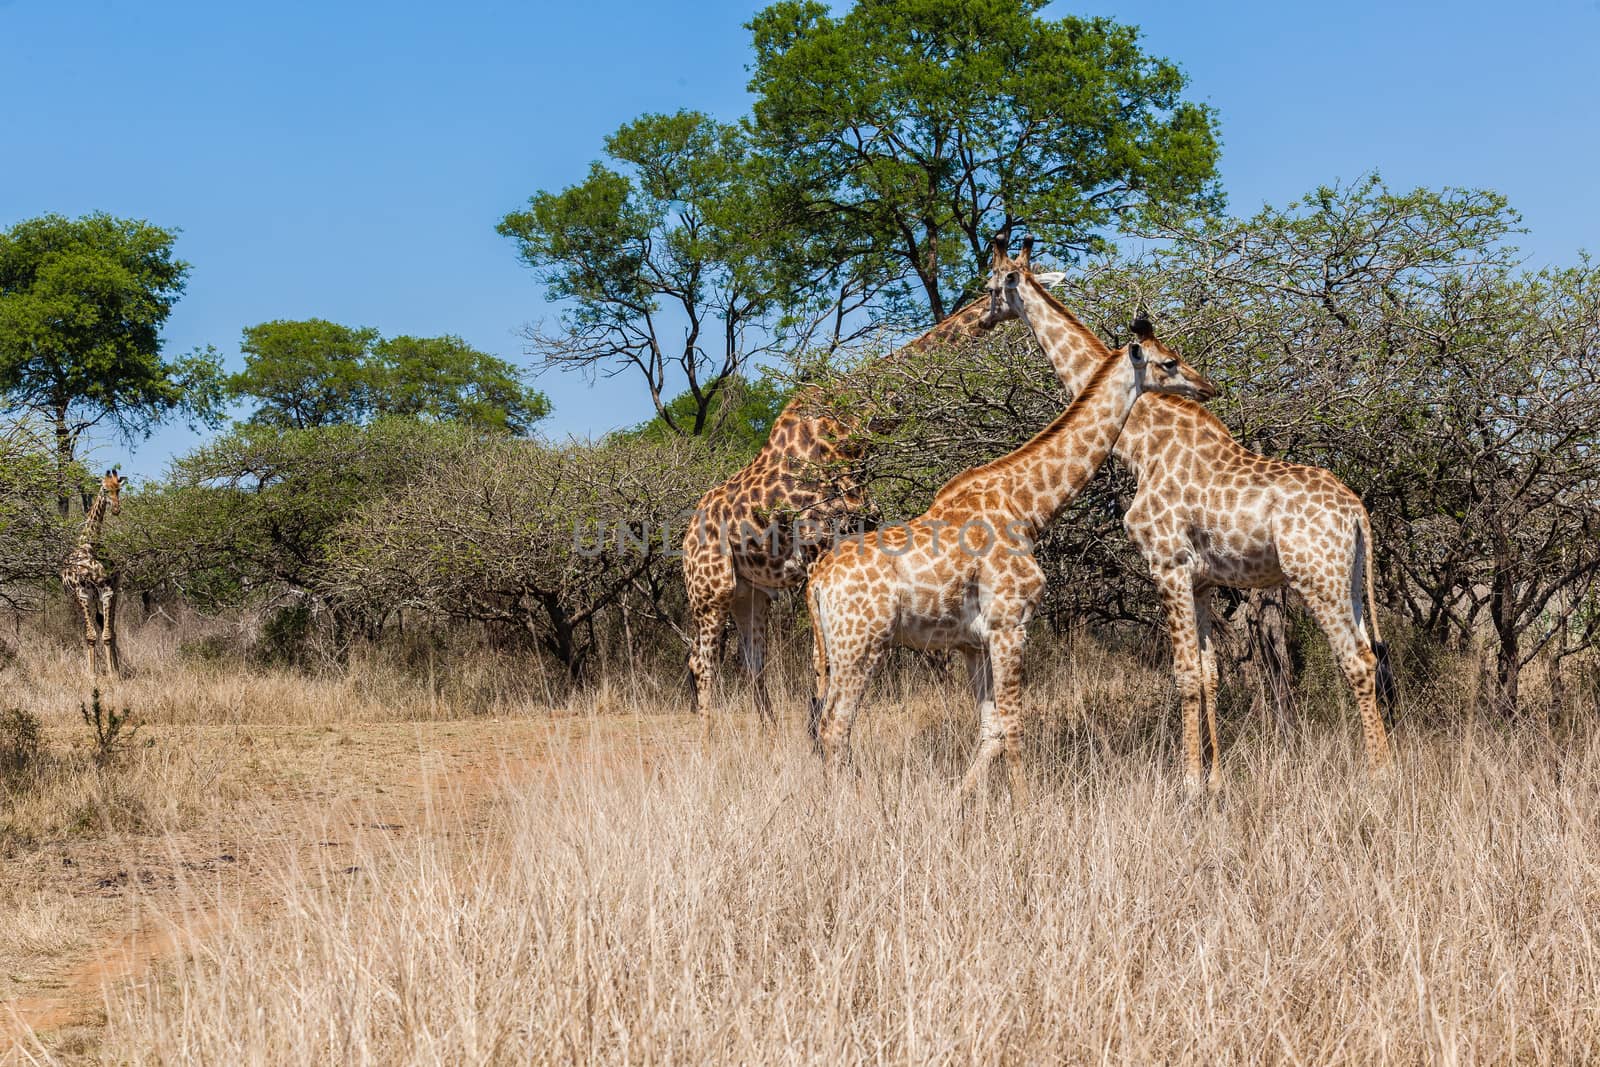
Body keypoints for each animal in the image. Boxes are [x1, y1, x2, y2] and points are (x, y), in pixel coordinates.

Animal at [60, 473, 125, 681]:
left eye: (118, 489)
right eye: (104, 489)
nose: (116, 509)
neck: (90, 546)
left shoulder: (108, 591)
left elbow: (107, 635)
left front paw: (113, 674)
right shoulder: (83, 594)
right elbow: (90, 636)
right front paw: (91, 674)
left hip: (113, 594)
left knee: (111, 630)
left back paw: (117, 669)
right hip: (83, 599)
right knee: (99, 628)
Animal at [681, 292, 1030, 729]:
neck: (852, 434)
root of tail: (686, 537)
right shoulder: (816, 550)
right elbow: (825, 657)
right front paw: (819, 725)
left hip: (751, 593)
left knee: (752, 661)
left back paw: (770, 733)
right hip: (711, 587)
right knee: (701, 661)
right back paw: (709, 734)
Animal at [806, 279, 1216, 796]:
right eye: (1169, 362)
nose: (1206, 388)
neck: (1028, 508)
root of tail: (816, 581)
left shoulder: (973, 642)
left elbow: (993, 729)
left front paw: (960, 802)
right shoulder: (1010, 623)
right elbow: (1016, 725)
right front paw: (1026, 806)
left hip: (833, 648)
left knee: (825, 725)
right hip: (860, 642)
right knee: (835, 726)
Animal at [979, 244, 1395, 793]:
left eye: (989, 287)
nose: (981, 319)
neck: (1140, 443)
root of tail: (1357, 511)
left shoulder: (1167, 564)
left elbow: (1184, 675)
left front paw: (1190, 782)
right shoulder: (1200, 580)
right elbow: (1210, 673)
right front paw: (1216, 779)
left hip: (1316, 577)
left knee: (1357, 660)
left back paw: (1379, 775)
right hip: (1349, 578)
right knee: (1370, 653)